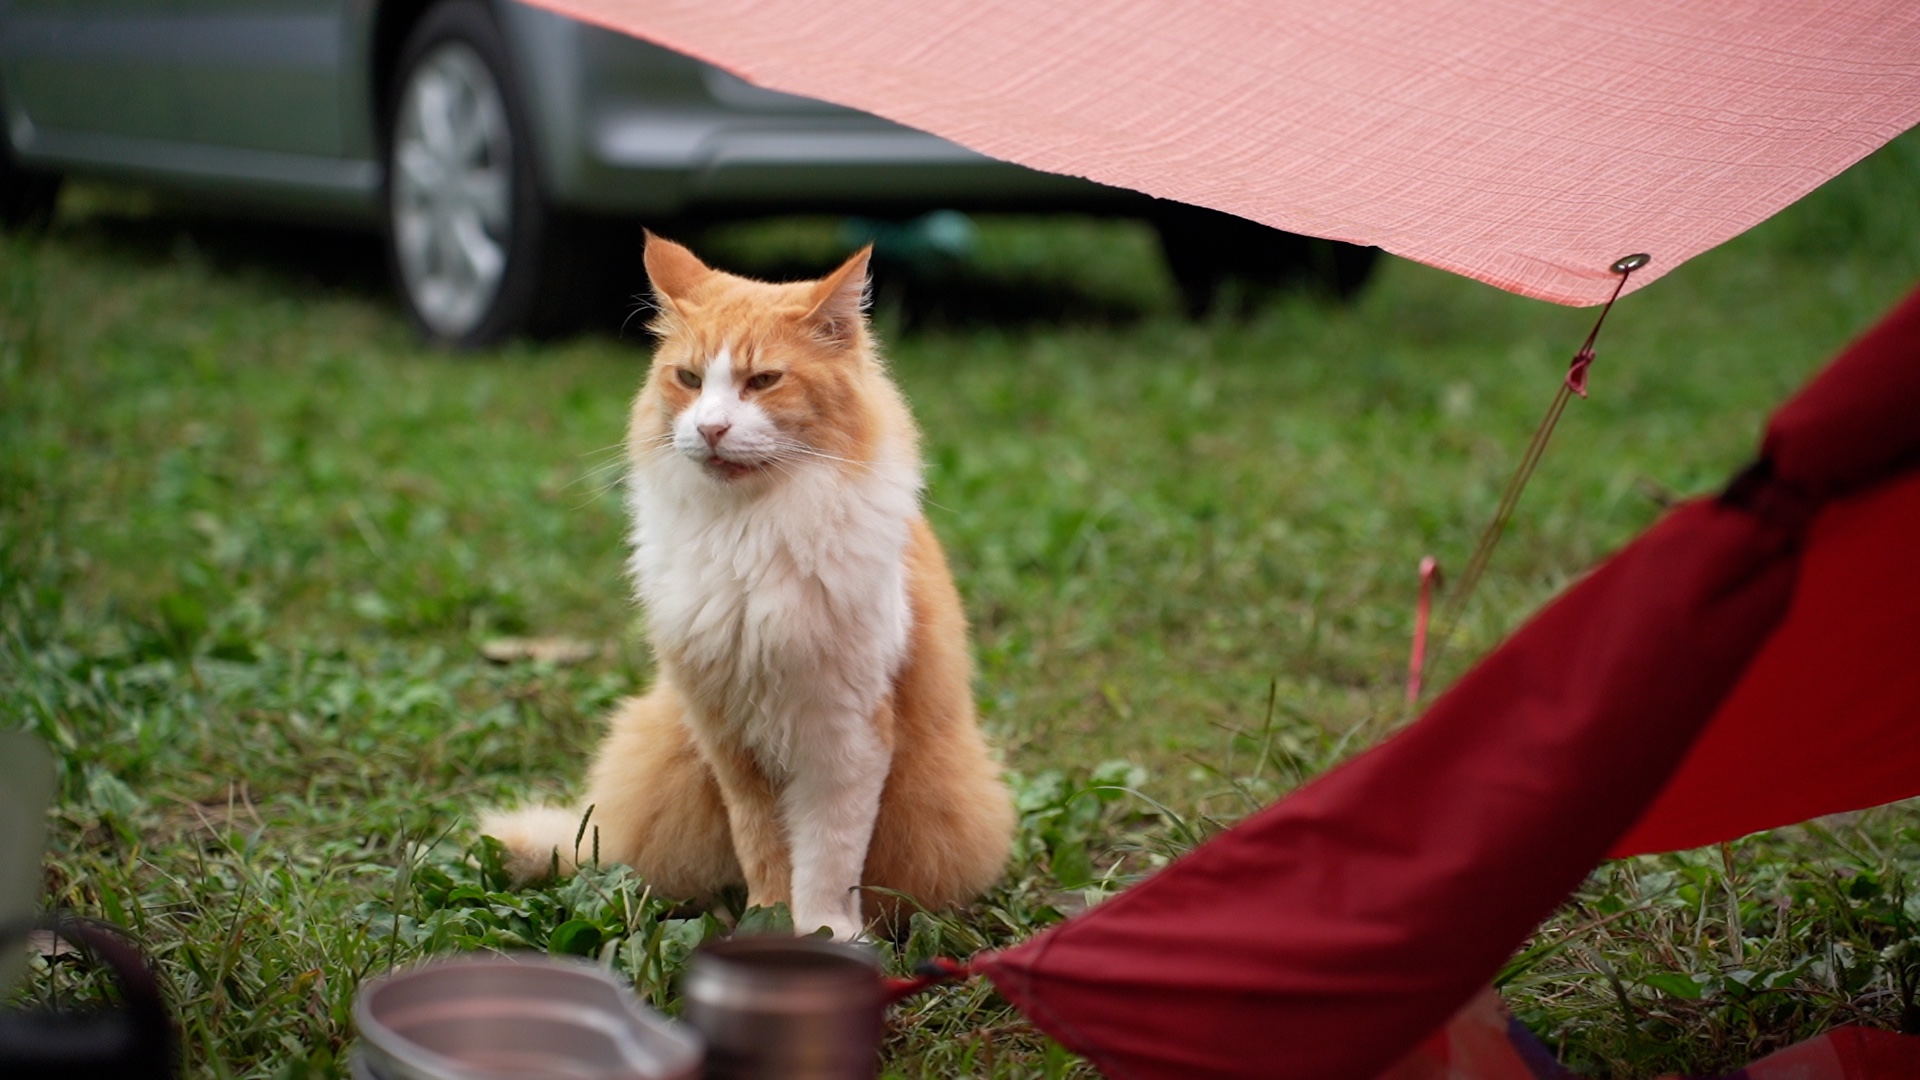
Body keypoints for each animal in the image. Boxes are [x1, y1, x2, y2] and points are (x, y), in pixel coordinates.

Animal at [480, 233, 1021, 933]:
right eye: (689, 379)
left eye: (763, 380)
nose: (710, 429)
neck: (747, 535)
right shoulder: (731, 740)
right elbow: (765, 851)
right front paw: (768, 922)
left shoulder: (843, 741)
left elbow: (826, 859)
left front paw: (823, 934)